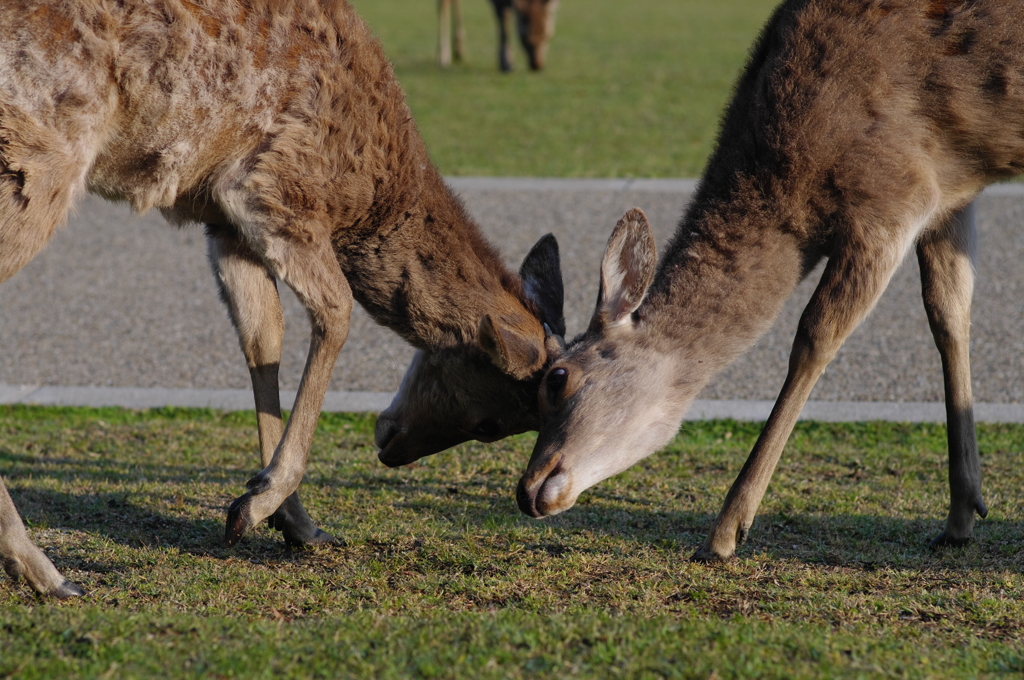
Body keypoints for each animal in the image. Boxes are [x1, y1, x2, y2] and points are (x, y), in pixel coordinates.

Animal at [0, 0, 565, 598]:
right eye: (491, 426)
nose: (390, 449)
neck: (367, 195)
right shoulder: (277, 190)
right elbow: (336, 313)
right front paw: (257, 504)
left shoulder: (222, 223)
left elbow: (263, 338)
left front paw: (291, 519)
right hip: (35, 161)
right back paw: (45, 571)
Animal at [516, 0, 1024, 561]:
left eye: (557, 379)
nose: (528, 488)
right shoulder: (951, 191)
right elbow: (949, 316)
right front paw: (961, 515)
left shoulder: (897, 193)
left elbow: (814, 337)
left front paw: (724, 531)